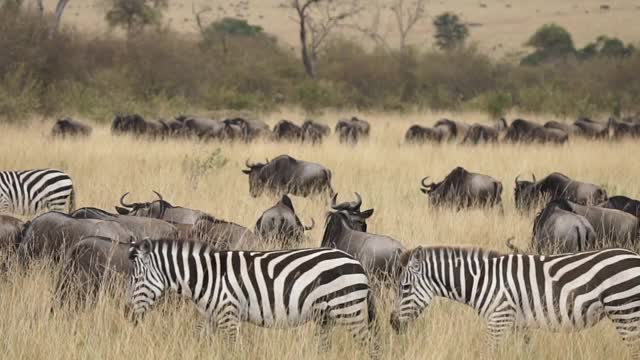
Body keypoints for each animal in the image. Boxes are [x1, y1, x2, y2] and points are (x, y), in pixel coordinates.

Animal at [127, 239, 380, 358]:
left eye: (136, 279)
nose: (127, 314)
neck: (207, 277)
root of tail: (357, 263)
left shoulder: (228, 313)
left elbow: (232, 349)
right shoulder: (211, 315)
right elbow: (198, 339)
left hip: (348, 310)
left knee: (370, 345)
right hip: (326, 316)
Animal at [390, 245, 640, 358]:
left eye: (405, 288)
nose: (392, 324)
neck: (482, 280)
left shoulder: (498, 318)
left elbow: (488, 352)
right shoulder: (518, 323)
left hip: (625, 311)